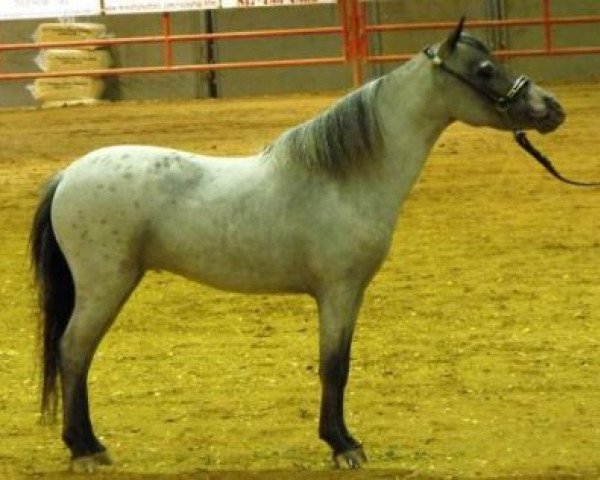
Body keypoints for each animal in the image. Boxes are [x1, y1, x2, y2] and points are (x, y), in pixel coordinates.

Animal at [30, 19, 564, 472]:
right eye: (485, 70)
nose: (552, 108)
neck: (345, 177)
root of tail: (68, 174)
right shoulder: (339, 292)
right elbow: (335, 366)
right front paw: (344, 445)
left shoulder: (347, 294)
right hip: (105, 285)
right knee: (74, 351)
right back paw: (85, 450)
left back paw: (90, 445)